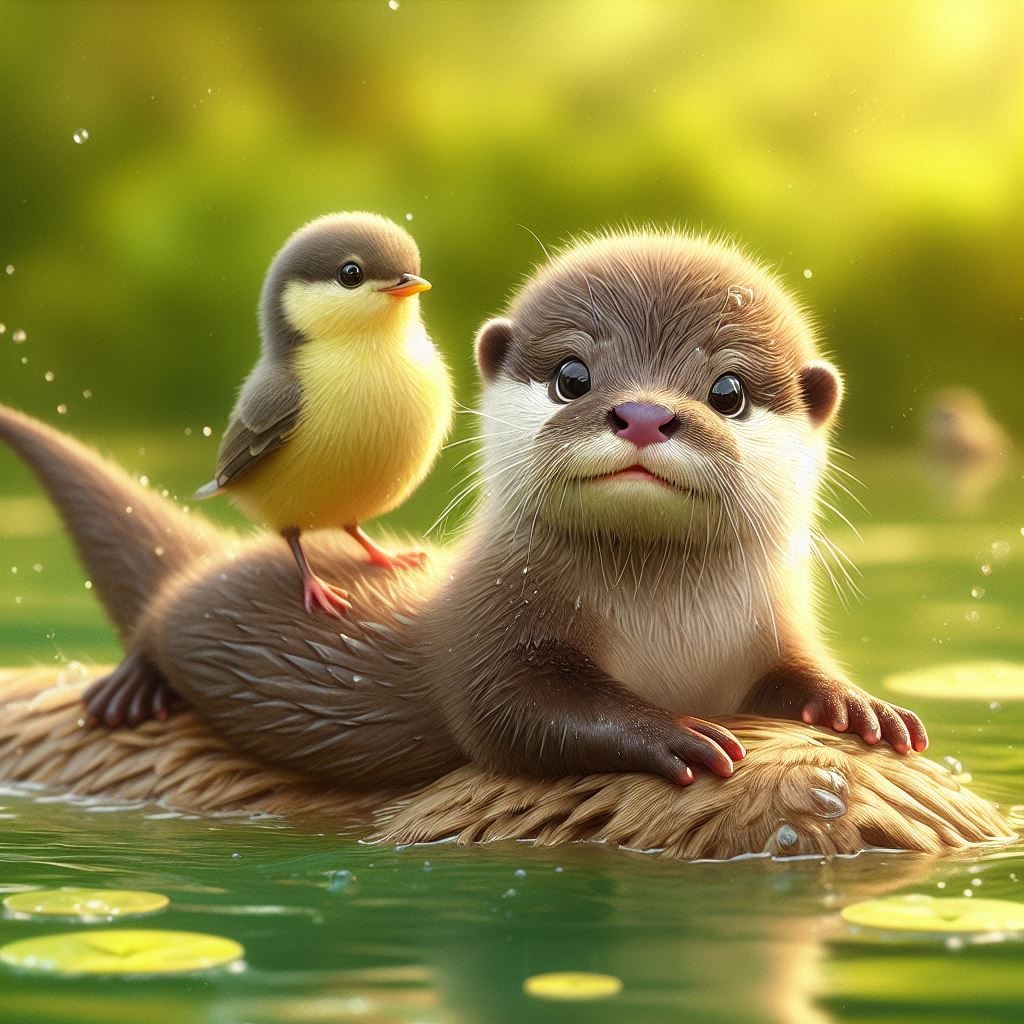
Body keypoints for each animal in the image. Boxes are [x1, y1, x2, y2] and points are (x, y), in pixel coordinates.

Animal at [0, 230, 926, 793]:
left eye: (727, 391)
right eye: (573, 377)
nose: (642, 414)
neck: (674, 634)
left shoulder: (769, 628)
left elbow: (797, 675)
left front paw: (859, 707)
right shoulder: (491, 633)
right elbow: (515, 715)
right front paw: (672, 734)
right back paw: (128, 688)